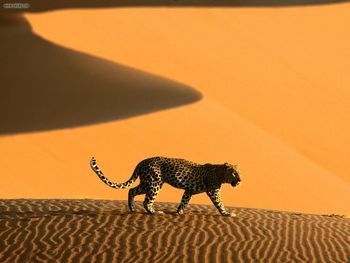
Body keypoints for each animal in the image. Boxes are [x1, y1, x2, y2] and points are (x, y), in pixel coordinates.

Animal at [90, 157, 241, 217]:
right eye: (234, 173)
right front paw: (227, 214)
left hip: (147, 183)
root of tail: (141, 162)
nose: (240, 180)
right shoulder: (213, 191)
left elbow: (184, 201)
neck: (221, 174)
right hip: (154, 184)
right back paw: (155, 212)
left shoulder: (189, 190)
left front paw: (179, 212)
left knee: (131, 190)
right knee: (146, 201)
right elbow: (219, 203)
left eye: (239, 172)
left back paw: (132, 208)